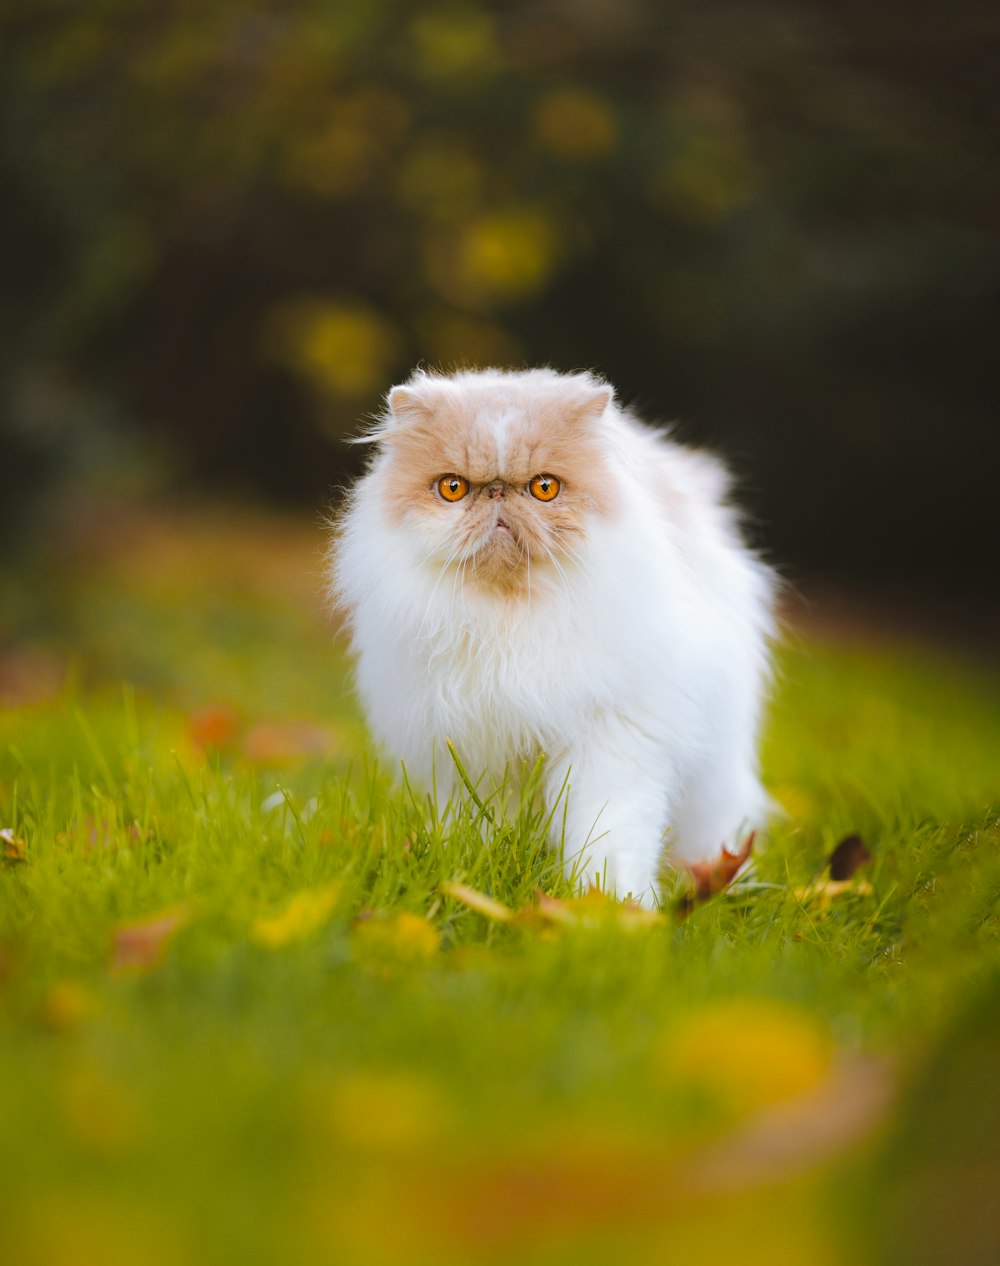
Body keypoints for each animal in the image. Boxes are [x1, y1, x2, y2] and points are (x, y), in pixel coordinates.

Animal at [331, 367, 779, 911]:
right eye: (453, 488)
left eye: (544, 488)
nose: (497, 493)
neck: (511, 623)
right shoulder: (473, 752)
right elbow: (481, 831)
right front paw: (475, 881)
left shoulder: (611, 740)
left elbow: (610, 834)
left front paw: (610, 906)